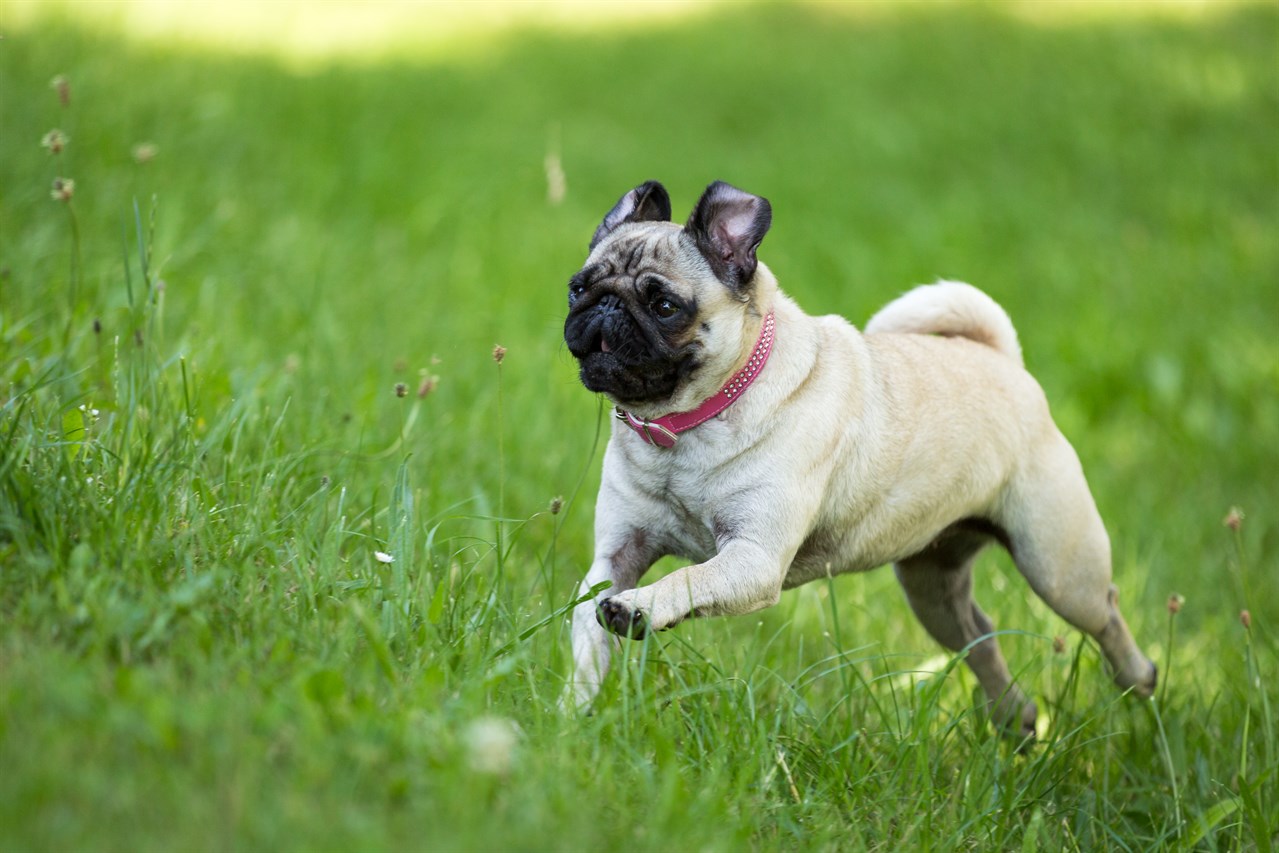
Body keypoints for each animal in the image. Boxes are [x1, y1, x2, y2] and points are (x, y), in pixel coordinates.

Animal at [565, 179, 1156, 736]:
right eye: (577, 289)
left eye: (665, 307)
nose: (604, 307)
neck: (682, 428)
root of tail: (1003, 361)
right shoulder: (614, 559)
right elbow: (588, 635)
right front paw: (573, 715)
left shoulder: (753, 559)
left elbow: (688, 580)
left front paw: (640, 607)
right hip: (931, 587)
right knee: (980, 638)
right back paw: (1017, 721)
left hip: (1057, 567)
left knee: (1104, 613)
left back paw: (1138, 678)